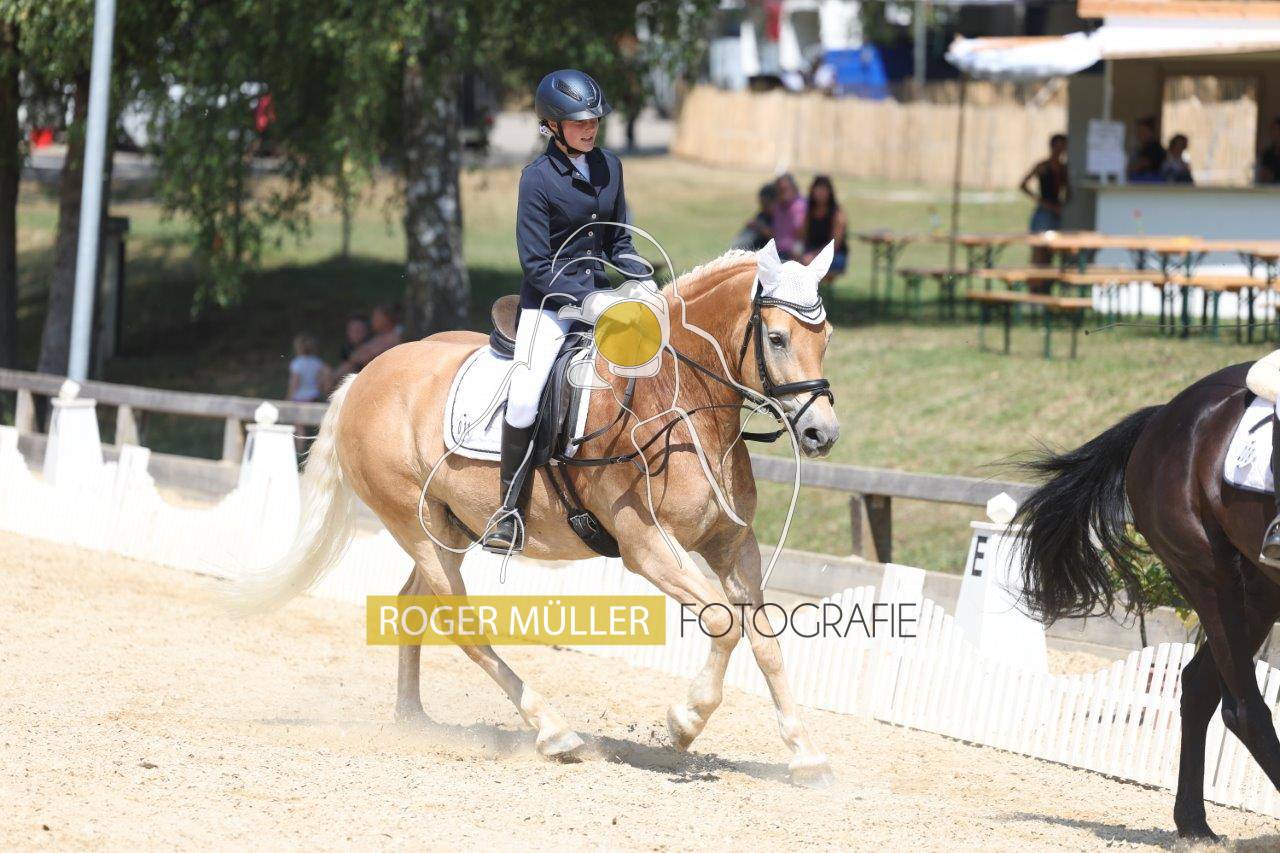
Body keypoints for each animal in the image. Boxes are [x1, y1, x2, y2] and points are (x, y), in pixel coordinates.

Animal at [234, 247, 842, 786]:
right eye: (777, 337)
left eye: (827, 338)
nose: (822, 434)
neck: (678, 403)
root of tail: (364, 377)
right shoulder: (647, 548)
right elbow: (723, 622)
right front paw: (683, 723)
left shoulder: (732, 545)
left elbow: (764, 640)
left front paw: (806, 755)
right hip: (416, 526)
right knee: (461, 626)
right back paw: (553, 732)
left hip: (446, 530)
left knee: (412, 607)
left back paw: (414, 721)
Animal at [1013, 360, 1280, 838]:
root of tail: (1164, 416)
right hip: (1210, 573)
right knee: (1242, 708)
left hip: (1260, 592)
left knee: (1200, 686)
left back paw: (1193, 823)